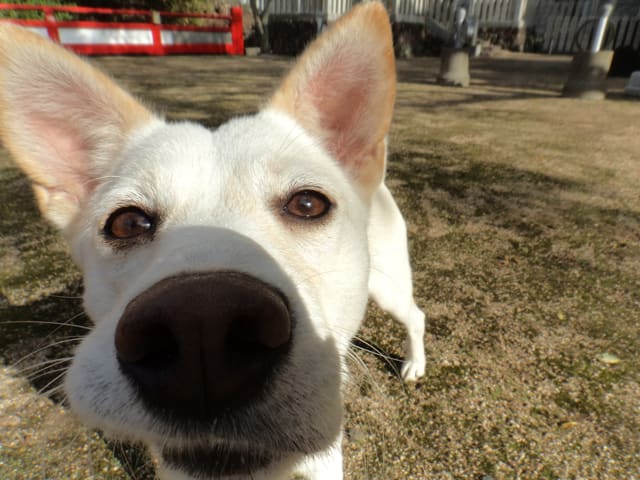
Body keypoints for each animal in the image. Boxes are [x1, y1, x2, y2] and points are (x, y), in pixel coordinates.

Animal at [1, 2, 424, 476]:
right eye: (125, 223)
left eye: (308, 204)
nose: (201, 325)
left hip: (388, 286)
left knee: (416, 315)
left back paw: (414, 364)